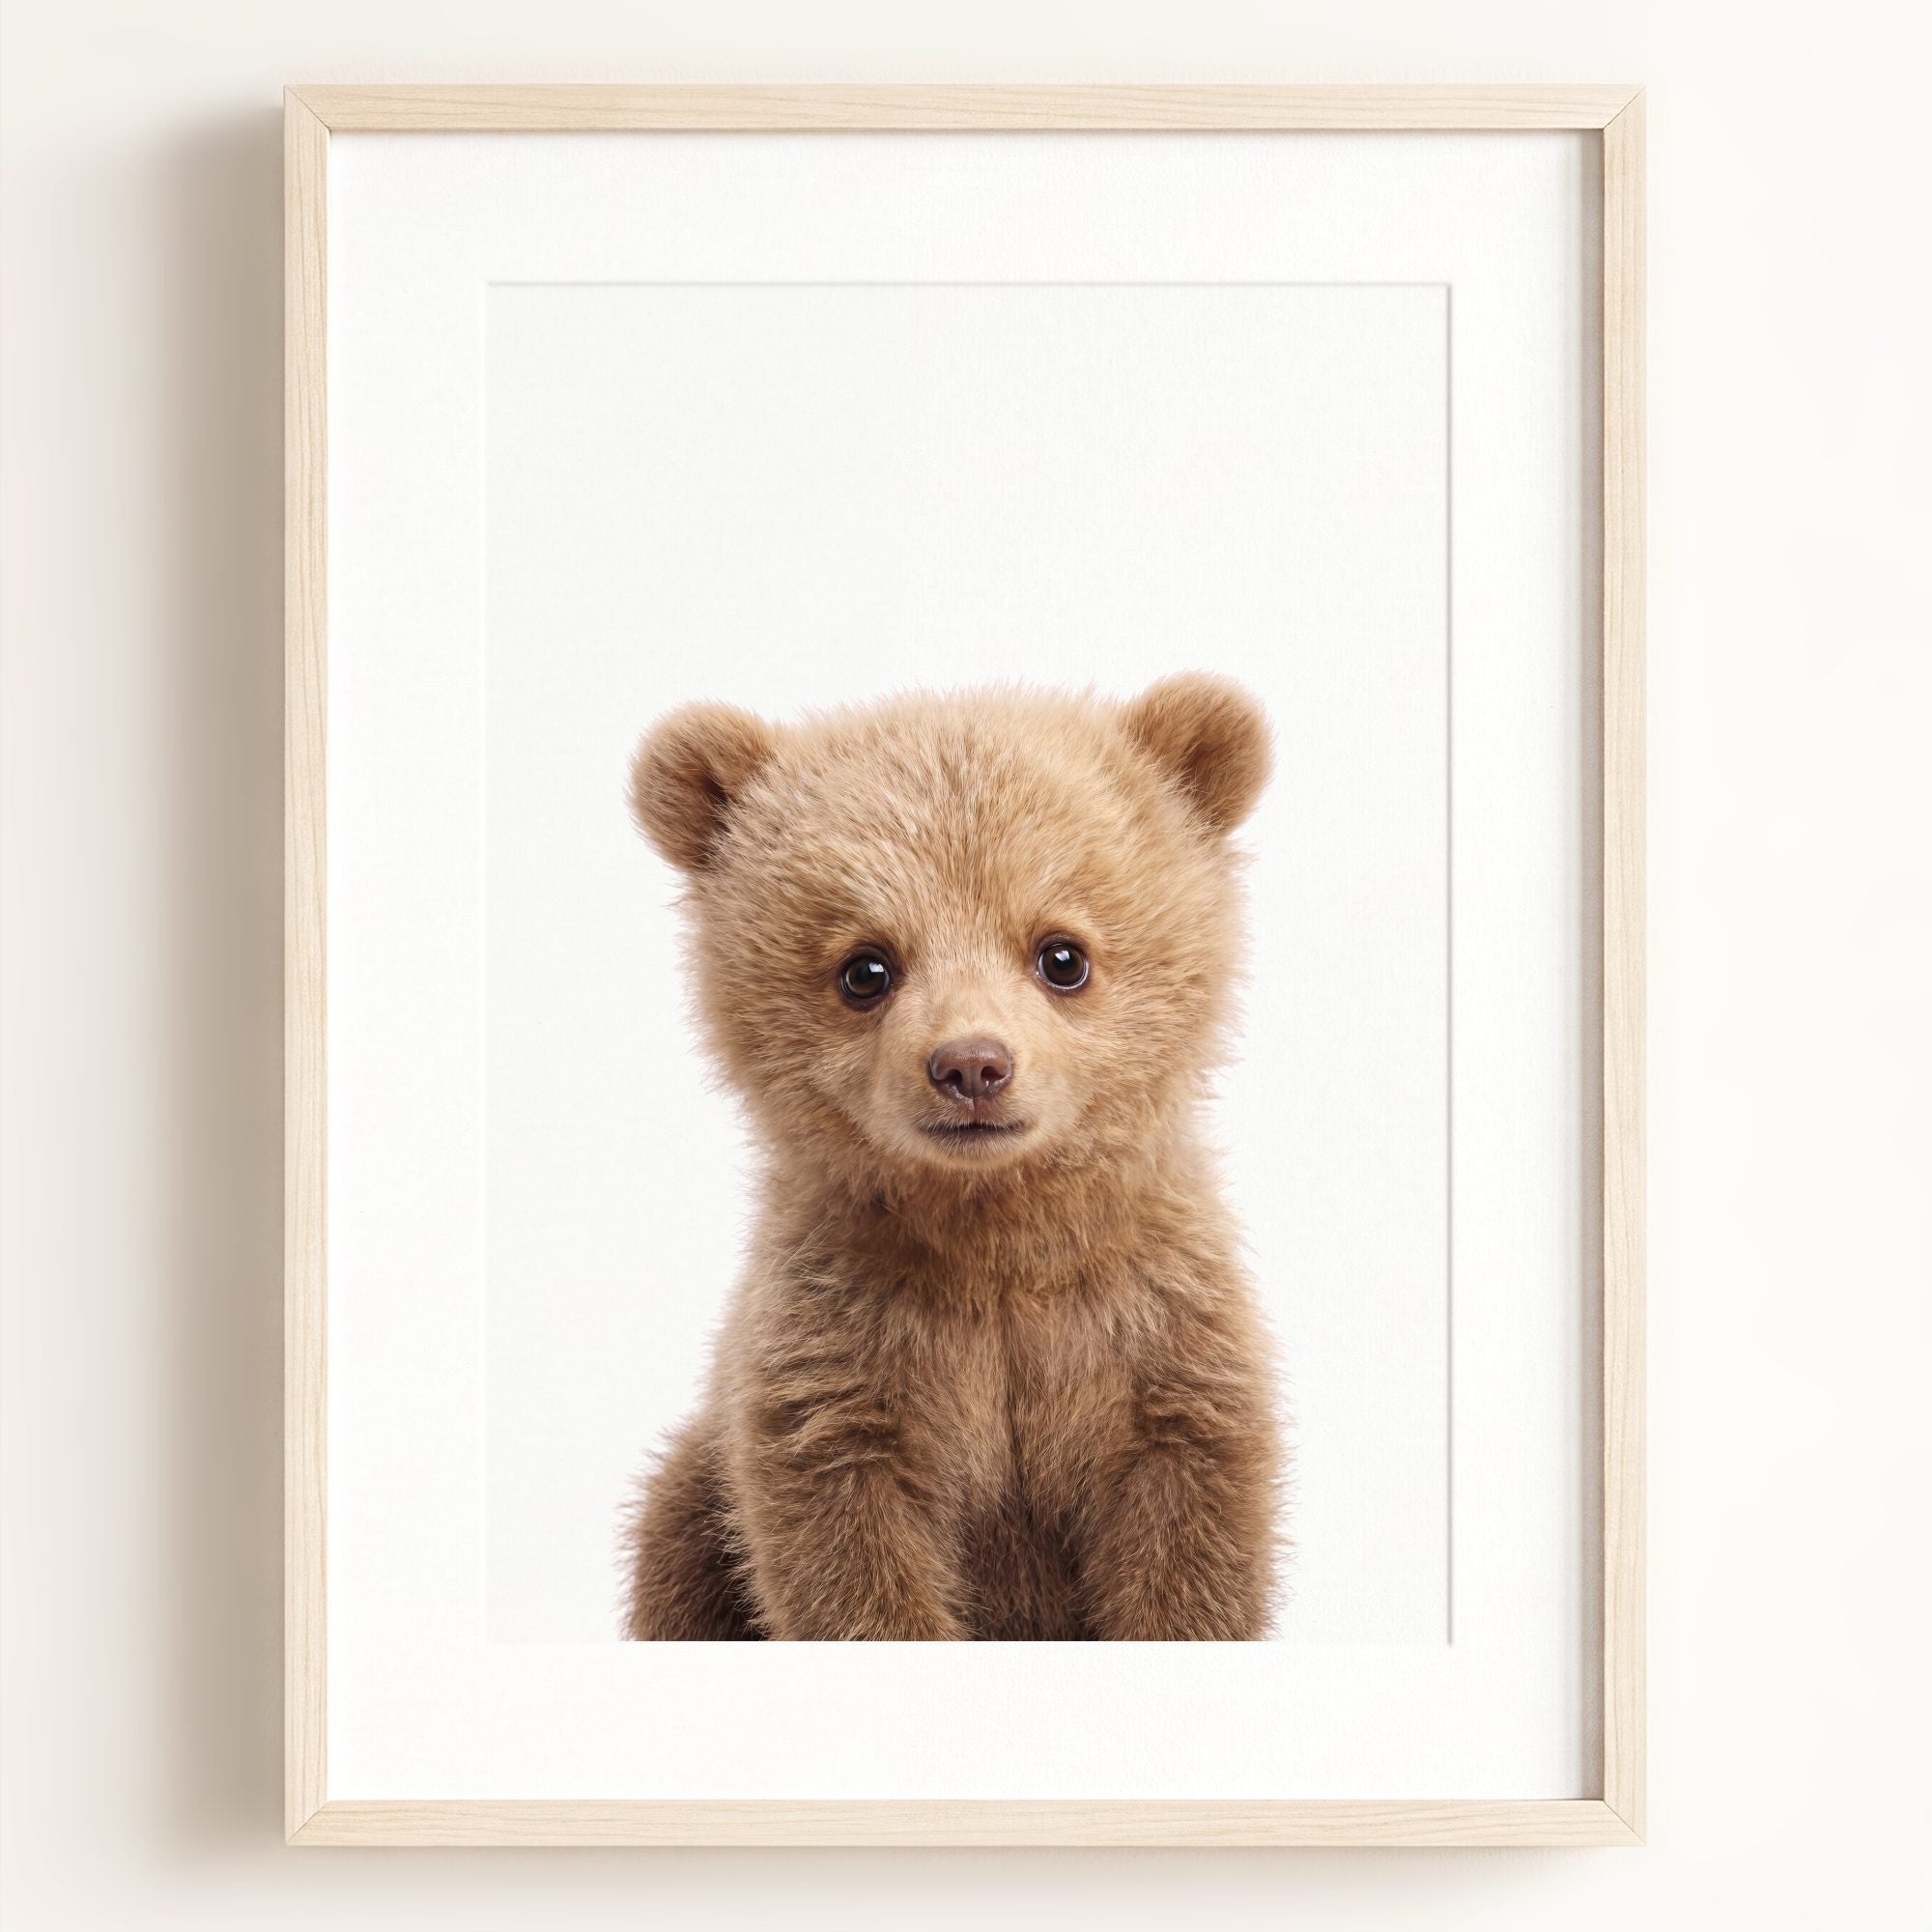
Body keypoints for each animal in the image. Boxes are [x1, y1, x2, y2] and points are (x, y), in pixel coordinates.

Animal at [619, 674, 1282, 1640]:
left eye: (1062, 954)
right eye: (865, 967)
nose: (971, 1065)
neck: (994, 1238)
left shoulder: (1155, 1341)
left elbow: (1189, 1544)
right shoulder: (841, 1361)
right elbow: (848, 1558)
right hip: (694, 1503)